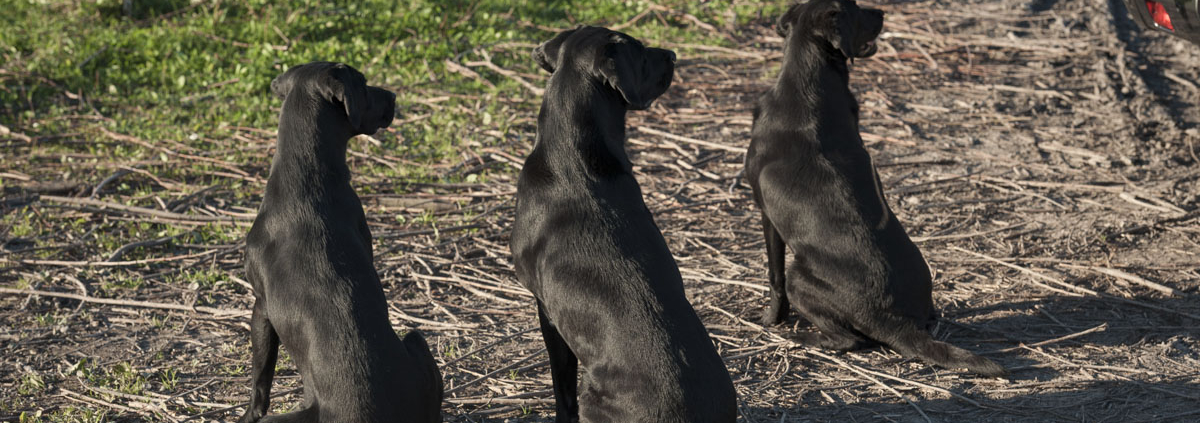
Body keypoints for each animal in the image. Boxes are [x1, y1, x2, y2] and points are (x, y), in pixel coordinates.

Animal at [237, 62, 441, 423]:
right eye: (363, 84)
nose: (393, 96)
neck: (305, 178)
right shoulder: (261, 306)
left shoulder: (261, 306)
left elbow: (261, 376)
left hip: (416, 339)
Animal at [508, 27, 734, 423]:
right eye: (641, 52)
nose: (673, 54)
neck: (573, 156)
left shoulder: (547, 312)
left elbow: (562, 389)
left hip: (594, 397)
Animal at [744, 0, 1008, 377]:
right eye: (856, 8)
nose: (882, 12)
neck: (807, 86)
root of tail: (893, 321)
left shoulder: (765, 214)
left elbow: (773, 276)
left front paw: (771, 320)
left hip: (800, 276)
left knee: (847, 339)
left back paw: (803, 338)